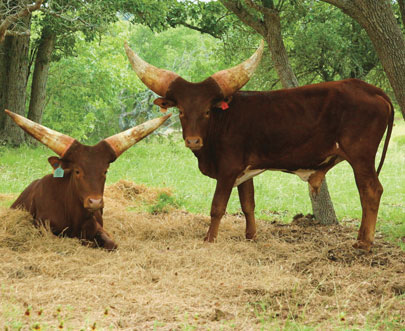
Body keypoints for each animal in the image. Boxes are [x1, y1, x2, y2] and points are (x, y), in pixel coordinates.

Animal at [124, 41, 392, 252]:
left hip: (361, 156)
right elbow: (248, 204)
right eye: (180, 110)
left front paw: (209, 240)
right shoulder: (245, 170)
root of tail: (371, 89)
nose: (193, 141)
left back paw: (364, 242)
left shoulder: (228, 169)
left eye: (207, 110)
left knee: (371, 191)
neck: (223, 121)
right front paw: (251, 236)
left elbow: (217, 207)